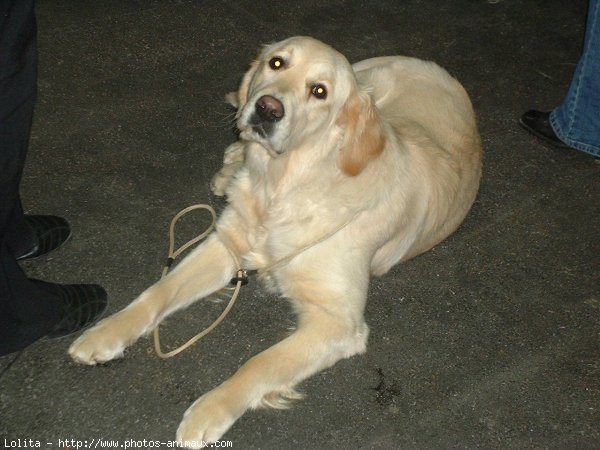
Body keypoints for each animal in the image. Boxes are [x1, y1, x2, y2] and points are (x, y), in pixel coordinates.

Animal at [69, 37, 482, 444]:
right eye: (277, 63)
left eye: (319, 91)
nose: (267, 108)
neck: (283, 185)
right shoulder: (226, 244)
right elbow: (158, 291)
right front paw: (105, 332)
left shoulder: (338, 322)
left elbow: (262, 363)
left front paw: (209, 410)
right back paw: (229, 168)